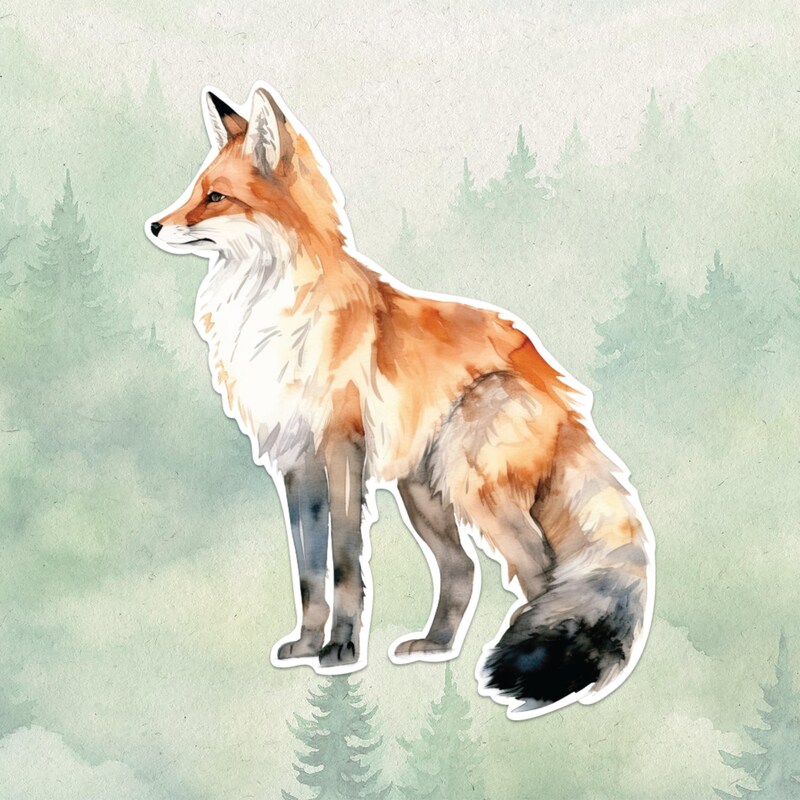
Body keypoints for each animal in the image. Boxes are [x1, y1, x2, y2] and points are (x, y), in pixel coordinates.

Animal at [146, 83, 655, 719]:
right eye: (195, 189)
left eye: (216, 197)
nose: (154, 226)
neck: (272, 309)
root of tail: (554, 376)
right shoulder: (296, 464)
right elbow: (309, 572)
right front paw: (307, 646)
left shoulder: (341, 451)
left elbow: (344, 567)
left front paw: (340, 650)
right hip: (425, 495)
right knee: (463, 570)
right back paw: (437, 647)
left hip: (473, 488)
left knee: (543, 577)